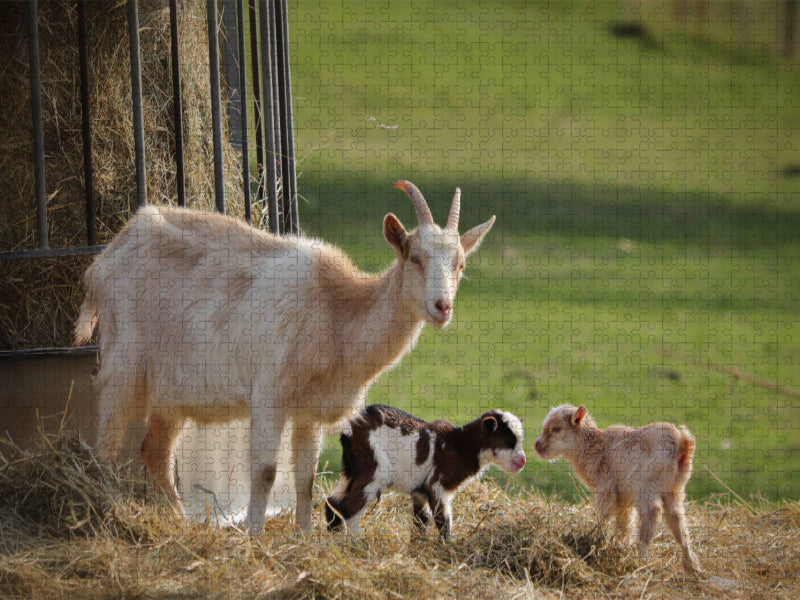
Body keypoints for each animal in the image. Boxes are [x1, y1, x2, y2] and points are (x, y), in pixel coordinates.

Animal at [73, 181, 495, 533]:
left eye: (461, 264)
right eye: (414, 257)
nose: (442, 307)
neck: (336, 311)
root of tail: (104, 260)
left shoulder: (309, 409)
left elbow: (304, 477)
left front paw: (304, 538)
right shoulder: (270, 395)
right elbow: (264, 471)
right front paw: (254, 535)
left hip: (171, 388)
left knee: (155, 451)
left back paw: (178, 521)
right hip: (124, 362)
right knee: (106, 445)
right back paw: (105, 512)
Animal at [325, 404, 526, 539]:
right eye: (509, 441)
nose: (523, 461)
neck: (460, 445)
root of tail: (350, 427)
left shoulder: (419, 491)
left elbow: (421, 523)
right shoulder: (437, 485)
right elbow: (444, 522)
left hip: (352, 471)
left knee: (332, 504)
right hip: (375, 470)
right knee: (349, 510)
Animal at [534, 404, 702, 573]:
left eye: (556, 428)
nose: (537, 446)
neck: (594, 447)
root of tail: (682, 443)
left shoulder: (605, 489)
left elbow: (604, 516)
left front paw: (596, 540)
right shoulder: (623, 498)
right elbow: (625, 524)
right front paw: (620, 546)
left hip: (646, 483)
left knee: (653, 511)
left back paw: (639, 558)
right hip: (674, 489)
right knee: (678, 520)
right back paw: (691, 565)